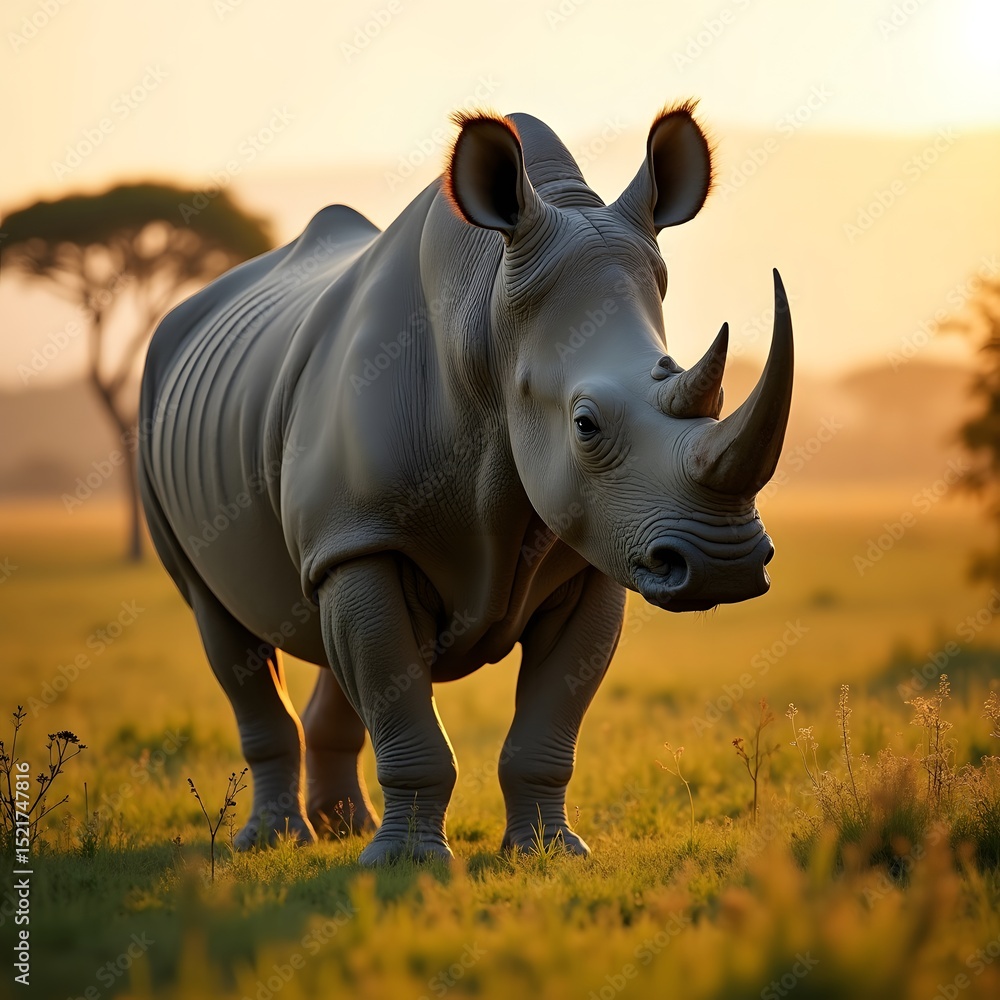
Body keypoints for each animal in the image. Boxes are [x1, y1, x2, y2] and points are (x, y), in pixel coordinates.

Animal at [138, 101, 793, 864]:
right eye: (586, 425)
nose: (726, 565)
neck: (491, 324)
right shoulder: (365, 536)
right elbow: (399, 704)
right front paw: (405, 864)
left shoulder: (595, 549)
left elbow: (548, 723)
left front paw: (548, 853)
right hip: (163, 413)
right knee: (222, 624)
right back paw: (275, 841)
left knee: (323, 628)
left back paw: (342, 828)